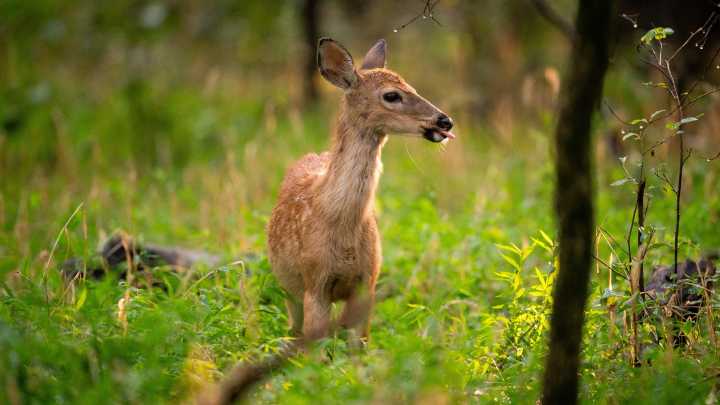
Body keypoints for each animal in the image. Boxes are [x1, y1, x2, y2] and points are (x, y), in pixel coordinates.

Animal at [267, 37, 455, 343]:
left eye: (413, 87)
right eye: (391, 95)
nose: (445, 121)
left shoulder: (368, 281)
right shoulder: (314, 283)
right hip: (288, 290)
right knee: (293, 329)